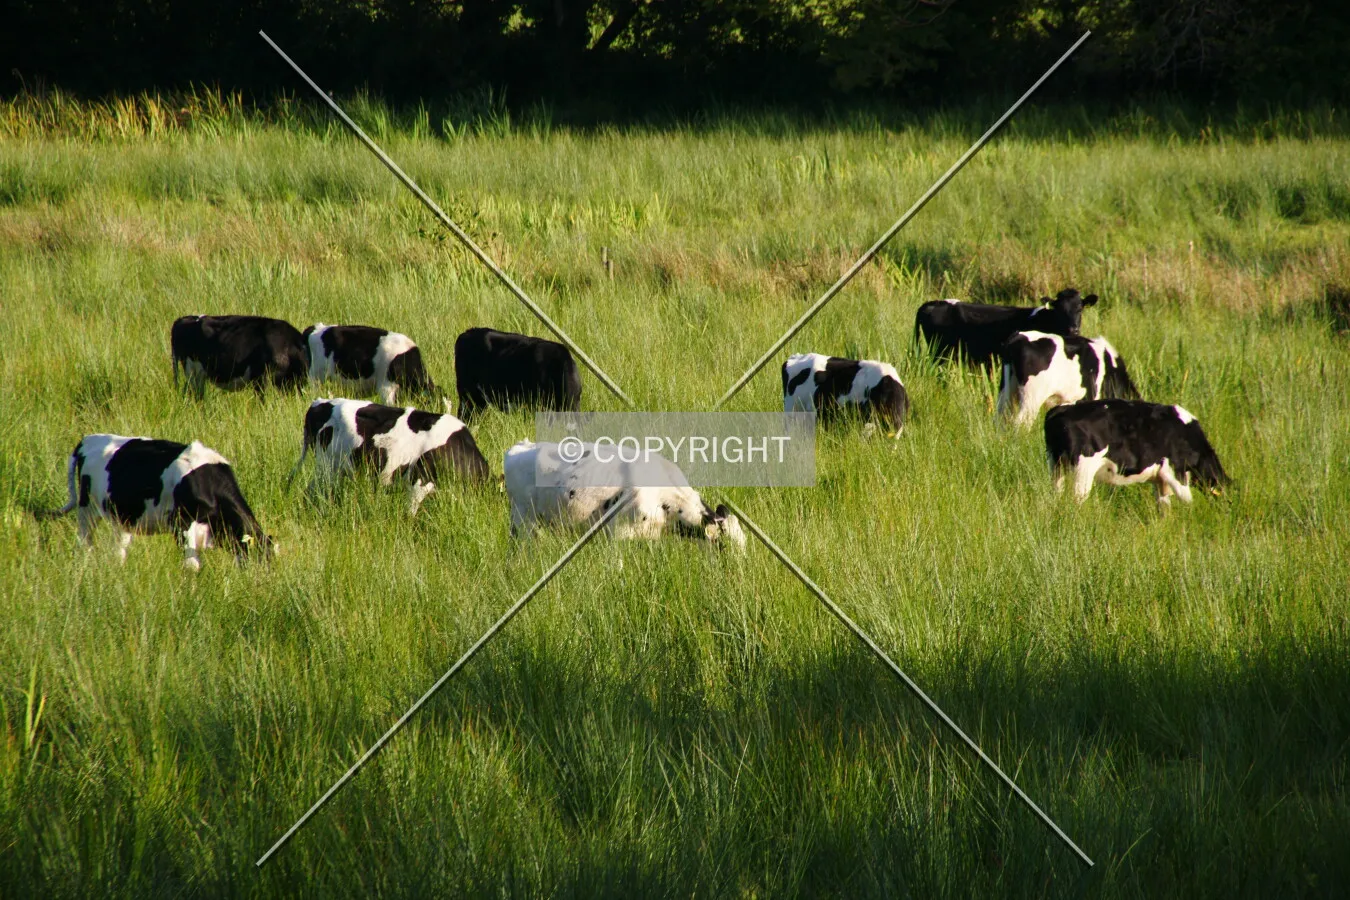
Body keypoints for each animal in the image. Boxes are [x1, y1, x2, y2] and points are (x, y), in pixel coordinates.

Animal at [43, 434, 275, 570]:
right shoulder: (181, 523)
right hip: (87, 509)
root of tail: (87, 439)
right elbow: (192, 565)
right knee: (85, 542)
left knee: (118, 551)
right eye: (259, 558)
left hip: (123, 518)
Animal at [1044, 400, 1229, 505]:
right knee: (1077, 499)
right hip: (1083, 469)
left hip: (1056, 465)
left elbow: (1163, 506)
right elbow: (1187, 501)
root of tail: (1061, 410)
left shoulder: (1160, 480)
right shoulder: (1175, 471)